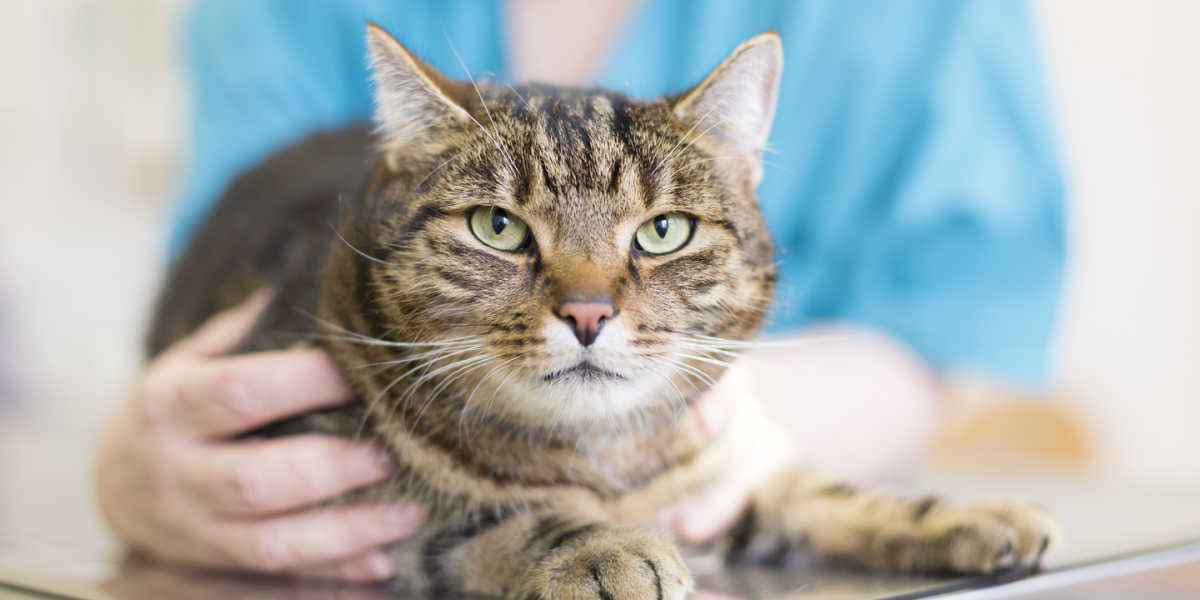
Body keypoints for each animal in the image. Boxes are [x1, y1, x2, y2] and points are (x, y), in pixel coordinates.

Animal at [150, 24, 1060, 600]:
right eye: (498, 227)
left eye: (662, 231)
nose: (587, 313)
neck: (600, 461)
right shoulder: (332, 500)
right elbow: (488, 515)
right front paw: (600, 545)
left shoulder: (718, 478)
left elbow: (817, 492)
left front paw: (967, 511)